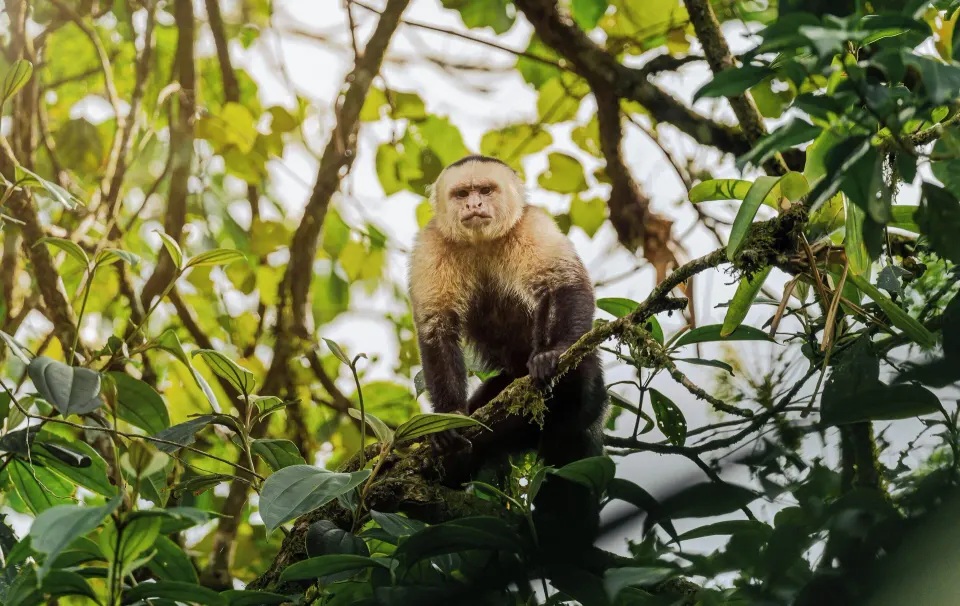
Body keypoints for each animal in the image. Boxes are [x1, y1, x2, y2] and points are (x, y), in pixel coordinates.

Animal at [407, 154, 608, 483]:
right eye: (462, 193)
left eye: (485, 190)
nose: (474, 204)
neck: (481, 242)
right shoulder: (431, 245)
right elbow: (437, 326)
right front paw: (450, 418)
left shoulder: (532, 225)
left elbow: (564, 284)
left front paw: (553, 352)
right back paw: (453, 464)